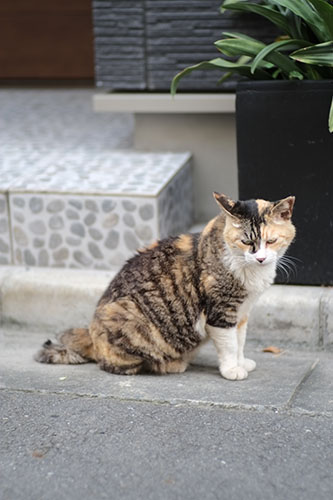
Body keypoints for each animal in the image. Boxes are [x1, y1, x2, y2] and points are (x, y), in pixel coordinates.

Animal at [35, 193, 296, 380]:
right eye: (246, 241)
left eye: (271, 241)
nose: (260, 258)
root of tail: (90, 332)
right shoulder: (221, 312)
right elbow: (230, 345)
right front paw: (232, 369)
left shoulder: (242, 313)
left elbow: (240, 342)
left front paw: (242, 363)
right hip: (127, 316)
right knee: (116, 364)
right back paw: (172, 364)